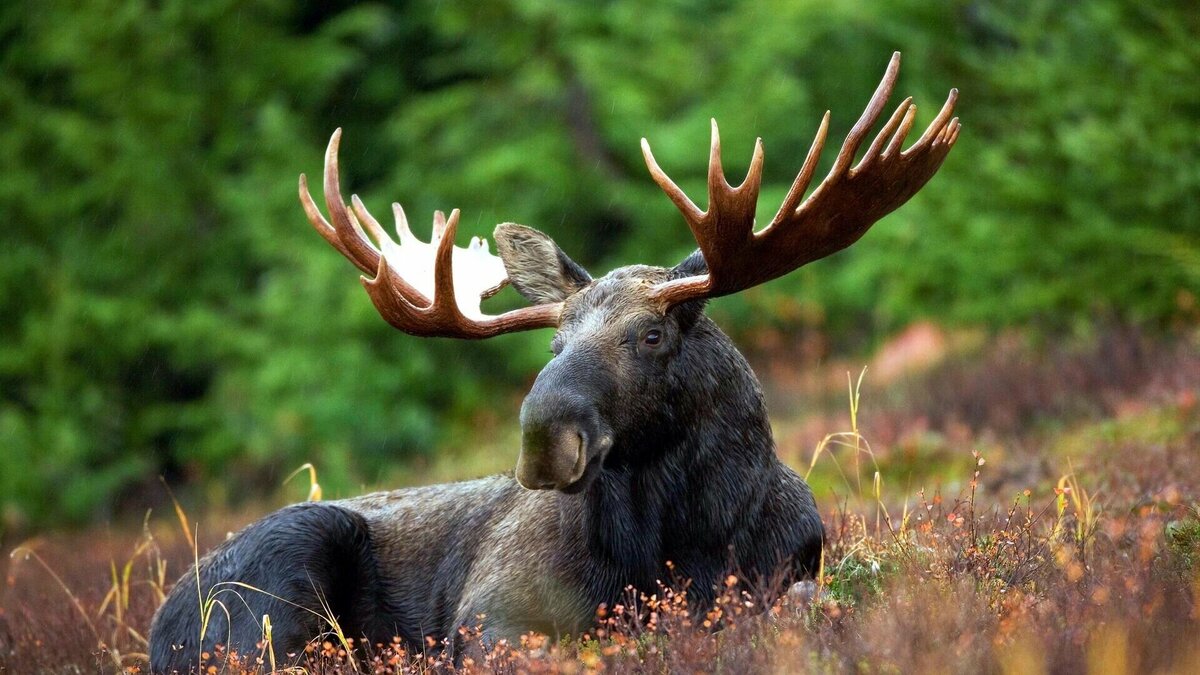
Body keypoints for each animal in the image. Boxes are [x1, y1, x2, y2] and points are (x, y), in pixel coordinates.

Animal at [147, 52, 955, 667]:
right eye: (553, 343)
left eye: (652, 335)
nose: (544, 438)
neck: (682, 541)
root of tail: (160, 624)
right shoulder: (490, 612)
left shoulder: (792, 568)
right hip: (279, 576)